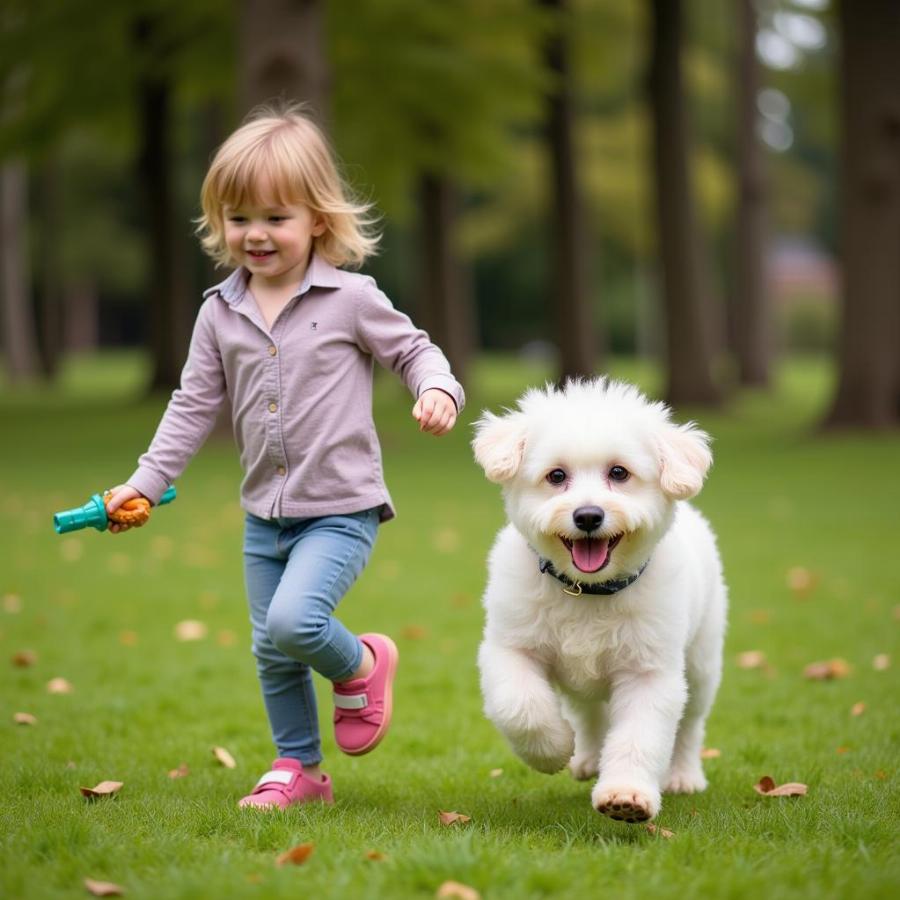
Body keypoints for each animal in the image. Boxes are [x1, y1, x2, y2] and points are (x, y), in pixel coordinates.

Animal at [474, 378, 728, 824]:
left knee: (690, 723)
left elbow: (639, 737)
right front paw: (552, 750)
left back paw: (683, 775)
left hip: (701, 661)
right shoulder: (510, 647)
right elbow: (520, 706)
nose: (588, 516)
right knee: (588, 711)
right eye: (556, 475)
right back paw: (587, 756)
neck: (586, 590)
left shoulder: (649, 672)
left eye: (619, 473)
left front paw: (627, 796)